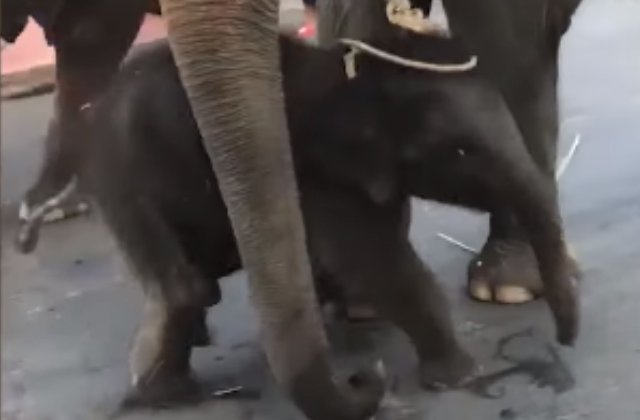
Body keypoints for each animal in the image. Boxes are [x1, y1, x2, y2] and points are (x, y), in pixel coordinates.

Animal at [83, 29, 577, 414]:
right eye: (461, 152)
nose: (565, 341)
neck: (352, 74)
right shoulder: (322, 177)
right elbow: (377, 262)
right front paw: (460, 374)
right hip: (125, 182)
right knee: (184, 286)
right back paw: (167, 393)